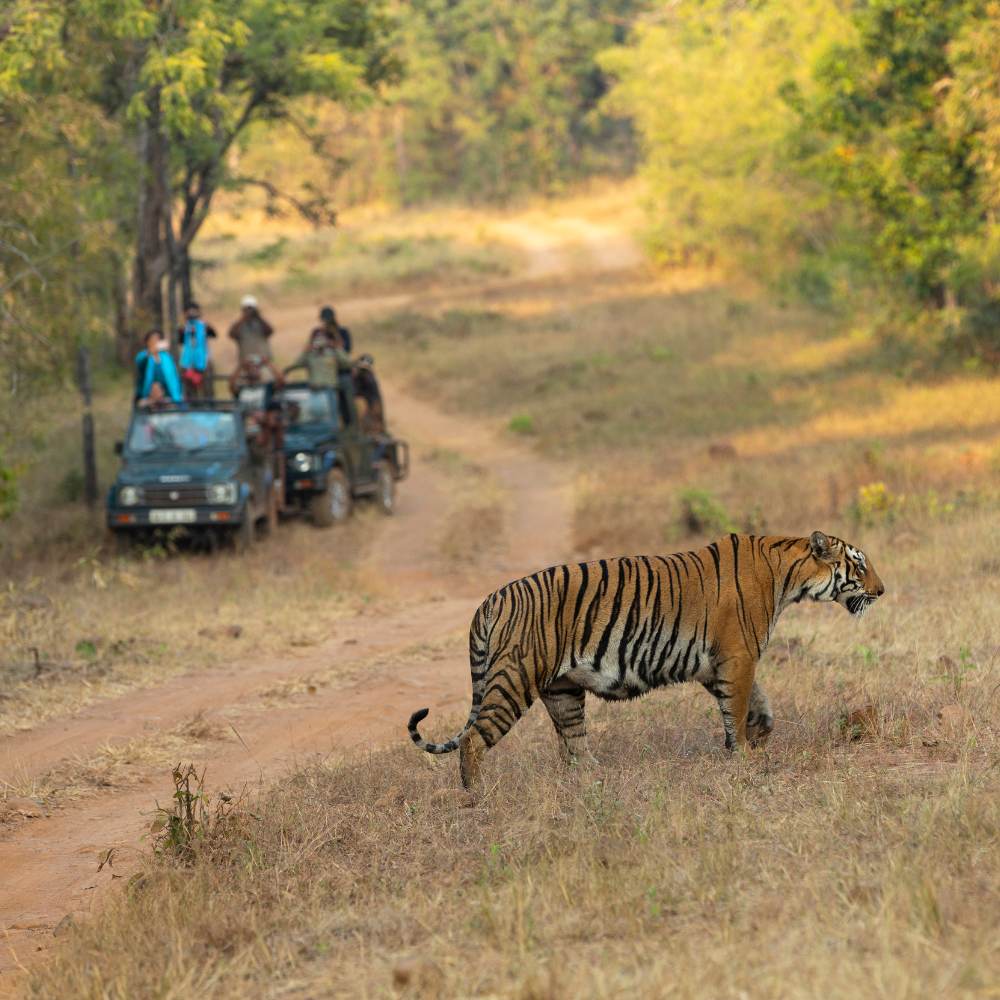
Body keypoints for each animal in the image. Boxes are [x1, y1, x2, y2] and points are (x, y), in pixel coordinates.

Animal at [408, 531, 884, 788]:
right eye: (859, 566)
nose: (881, 591)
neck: (788, 574)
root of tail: (489, 600)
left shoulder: (716, 664)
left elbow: (758, 707)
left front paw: (757, 736)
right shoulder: (738, 657)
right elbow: (739, 706)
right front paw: (744, 756)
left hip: (562, 692)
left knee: (574, 747)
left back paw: (595, 780)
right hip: (514, 678)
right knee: (473, 740)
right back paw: (476, 797)